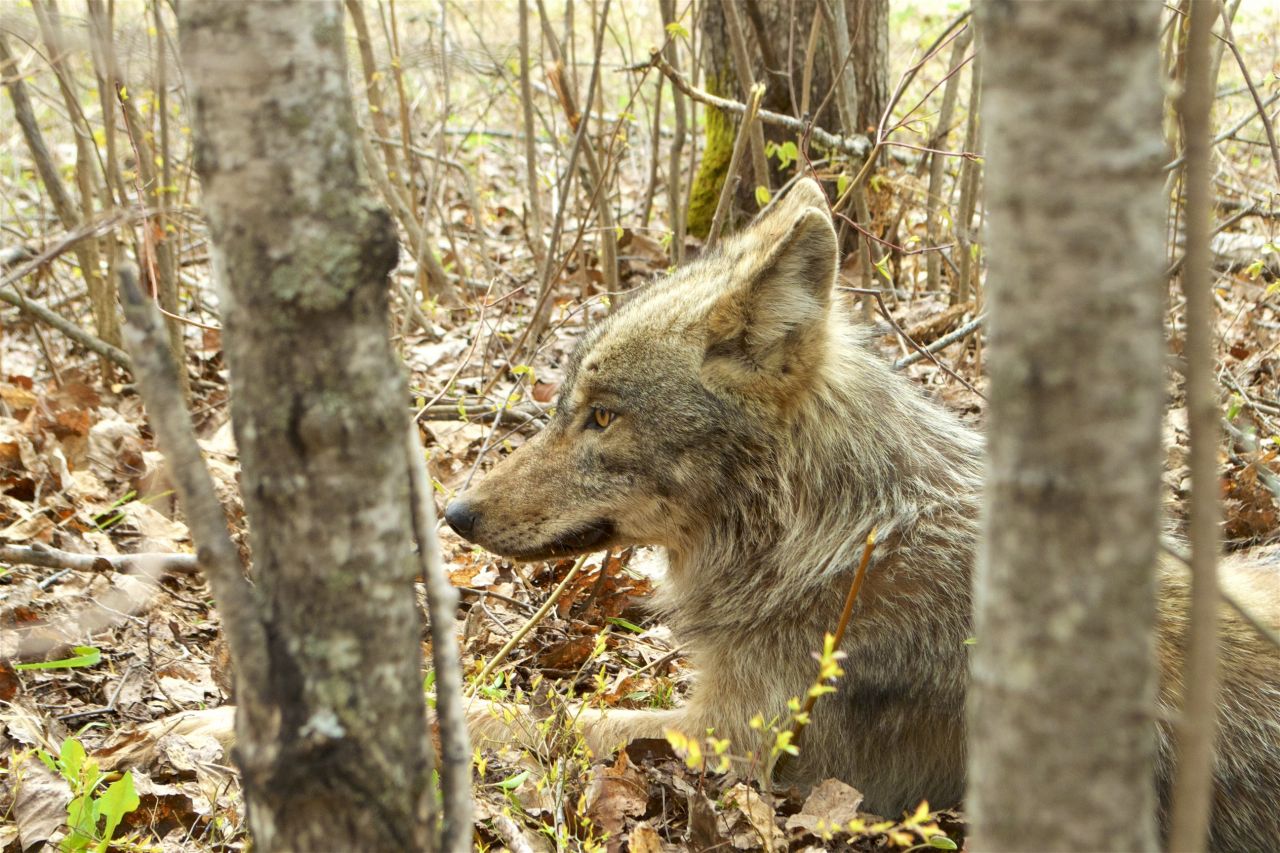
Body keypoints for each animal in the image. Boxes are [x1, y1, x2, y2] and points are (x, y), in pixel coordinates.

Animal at [450, 175, 1280, 845]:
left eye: (602, 416)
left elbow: (537, 719)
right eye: (570, 406)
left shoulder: (728, 743)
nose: (455, 511)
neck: (830, 536)